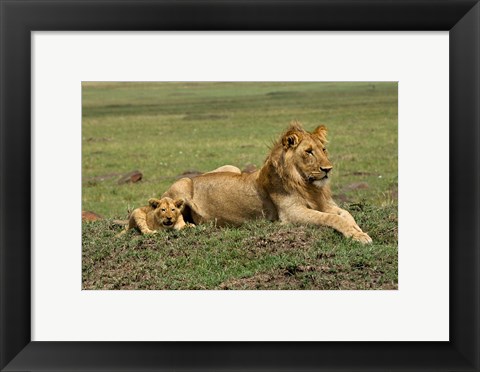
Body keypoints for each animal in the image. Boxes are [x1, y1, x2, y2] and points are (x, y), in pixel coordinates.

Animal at [163, 121, 374, 244]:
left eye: (323, 149)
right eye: (308, 152)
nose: (328, 169)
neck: (306, 185)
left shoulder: (324, 204)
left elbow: (346, 214)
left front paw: (358, 231)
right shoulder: (292, 213)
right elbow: (331, 218)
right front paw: (358, 236)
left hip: (232, 167)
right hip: (182, 183)